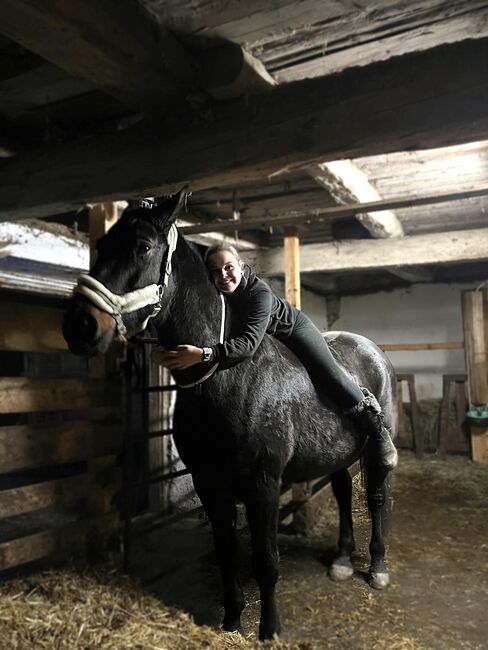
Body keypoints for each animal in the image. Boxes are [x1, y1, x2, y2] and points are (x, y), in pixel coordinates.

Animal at [63, 191, 396, 636]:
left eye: (143, 247)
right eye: (100, 244)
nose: (79, 325)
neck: (226, 379)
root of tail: (371, 350)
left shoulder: (264, 485)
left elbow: (265, 561)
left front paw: (270, 630)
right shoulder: (209, 482)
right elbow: (225, 553)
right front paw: (232, 621)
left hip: (372, 451)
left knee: (375, 498)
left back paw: (376, 567)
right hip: (338, 454)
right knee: (343, 494)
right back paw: (342, 560)